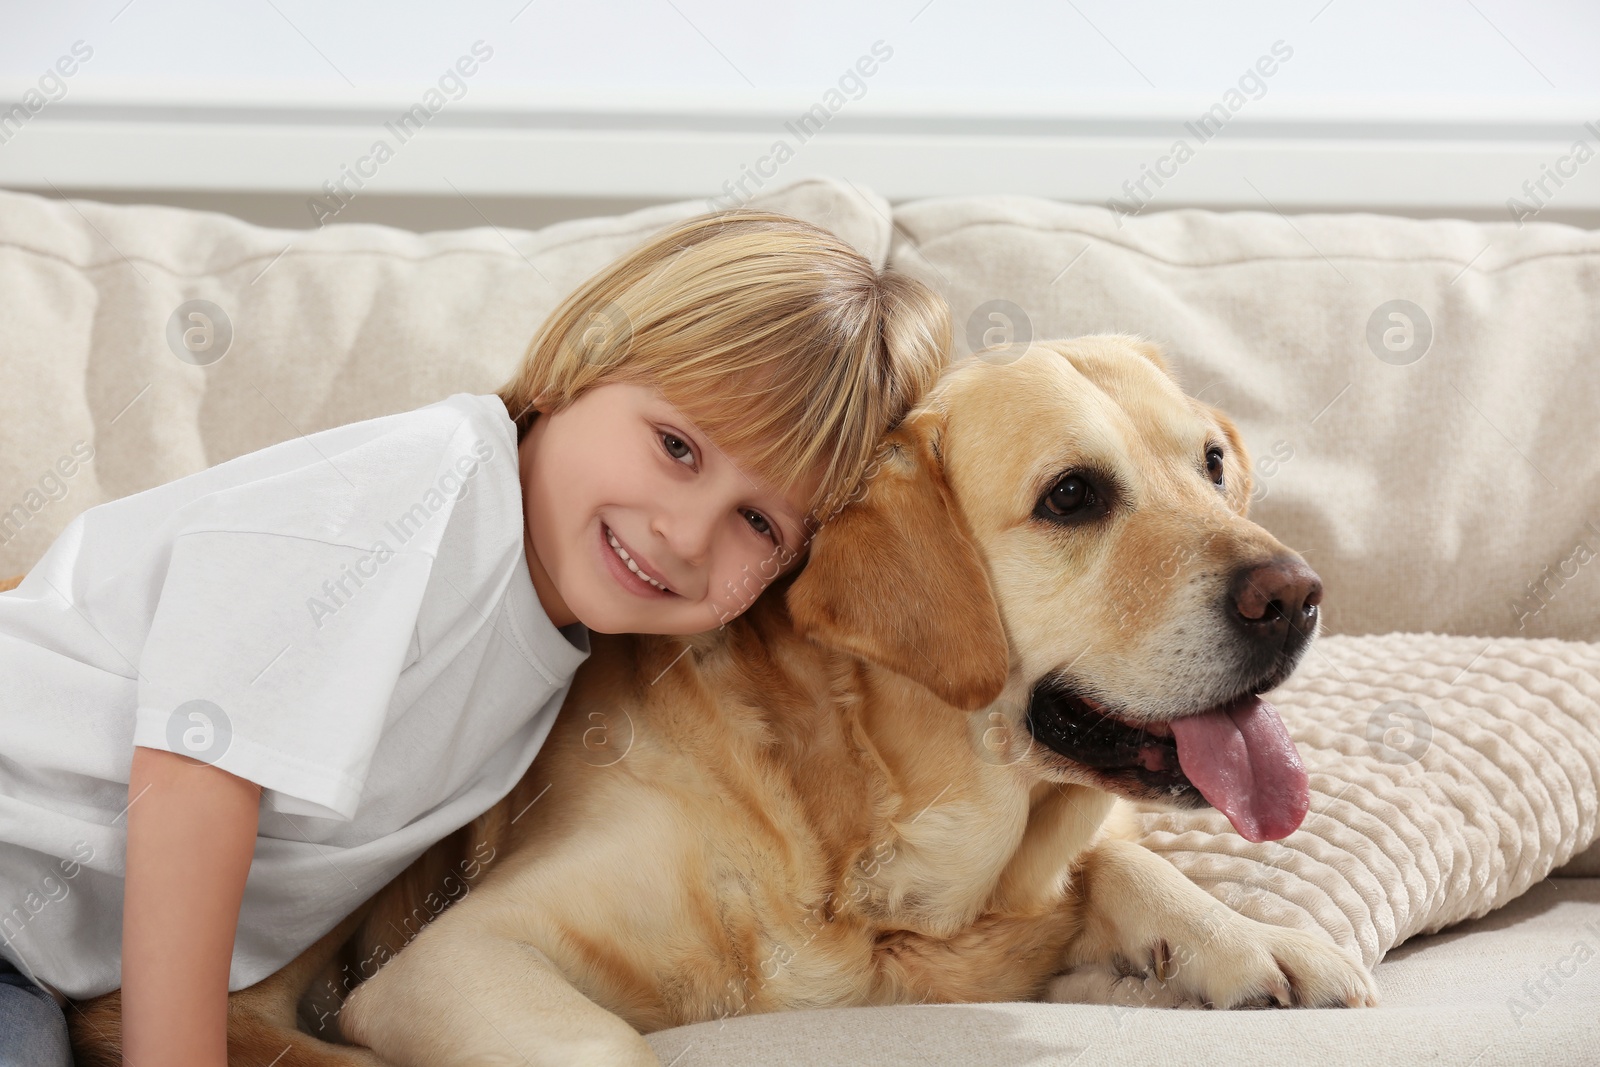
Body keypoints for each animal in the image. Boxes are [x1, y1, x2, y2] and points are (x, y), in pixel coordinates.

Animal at [62, 337, 1376, 1067]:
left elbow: (1121, 858)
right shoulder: (456, 957)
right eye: (1071, 496)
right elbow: (603, 1041)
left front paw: (1248, 937)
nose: (1295, 594)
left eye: (1211, 461)